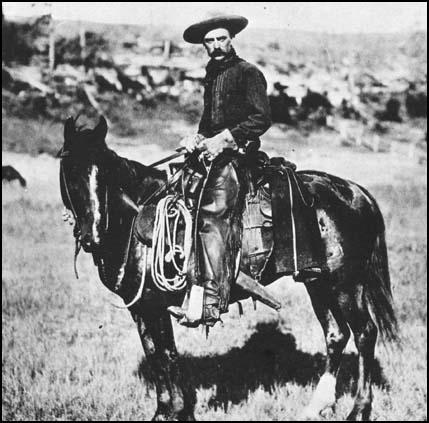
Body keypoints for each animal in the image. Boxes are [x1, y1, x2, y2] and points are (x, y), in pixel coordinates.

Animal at [58, 115, 396, 420]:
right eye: (70, 172)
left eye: (103, 171)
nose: (92, 235)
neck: (135, 218)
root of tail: (355, 192)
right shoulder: (141, 307)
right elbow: (155, 355)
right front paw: (167, 410)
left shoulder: (155, 304)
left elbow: (167, 355)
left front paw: (176, 412)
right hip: (318, 282)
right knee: (336, 334)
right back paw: (316, 406)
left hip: (346, 284)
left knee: (365, 333)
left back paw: (359, 410)